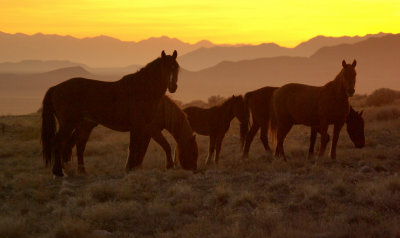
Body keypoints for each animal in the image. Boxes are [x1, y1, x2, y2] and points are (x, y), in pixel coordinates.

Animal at [41, 50, 178, 177]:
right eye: (165, 68)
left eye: (176, 67)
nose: (173, 87)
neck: (142, 89)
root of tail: (56, 88)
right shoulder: (138, 125)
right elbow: (134, 147)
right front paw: (130, 169)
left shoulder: (144, 127)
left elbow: (140, 147)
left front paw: (133, 168)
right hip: (68, 124)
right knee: (58, 142)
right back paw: (59, 172)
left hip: (82, 125)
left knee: (74, 145)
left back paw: (77, 171)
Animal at [62, 95, 198, 173]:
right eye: (193, 152)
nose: (194, 169)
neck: (161, 108)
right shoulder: (153, 130)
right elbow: (165, 146)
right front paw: (169, 166)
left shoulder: (146, 132)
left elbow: (141, 150)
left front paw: (135, 166)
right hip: (85, 126)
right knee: (78, 145)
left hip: (86, 126)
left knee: (71, 144)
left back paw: (69, 168)